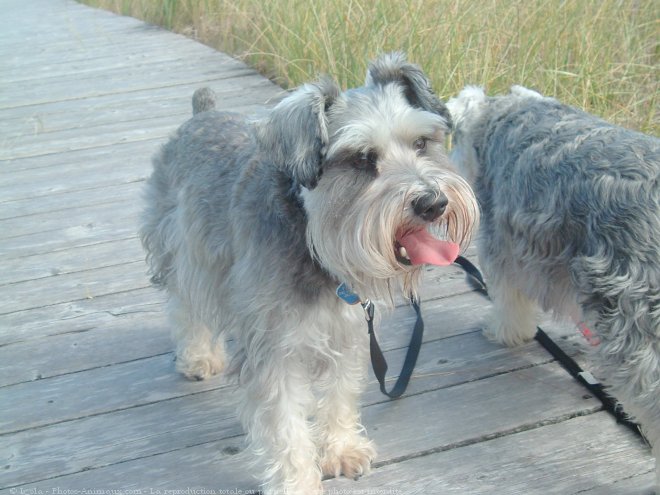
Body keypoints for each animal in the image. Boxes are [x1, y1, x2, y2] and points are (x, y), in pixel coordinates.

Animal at [141, 52, 480, 494]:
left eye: (422, 143)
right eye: (361, 159)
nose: (433, 203)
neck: (315, 241)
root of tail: (203, 112)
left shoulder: (348, 332)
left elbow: (339, 393)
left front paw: (341, 449)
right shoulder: (275, 351)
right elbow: (285, 425)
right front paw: (297, 480)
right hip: (187, 254)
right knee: (185, 307)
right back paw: (198, 356)